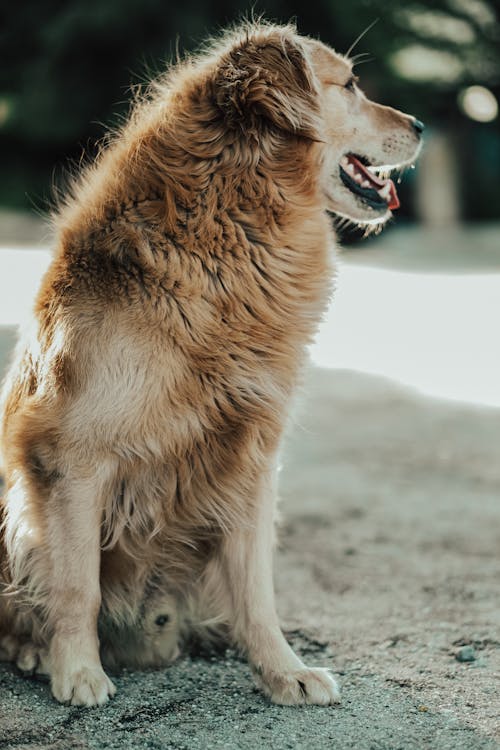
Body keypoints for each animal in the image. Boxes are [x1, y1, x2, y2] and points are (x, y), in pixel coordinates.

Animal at [0, 20, 424, 708]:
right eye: (351, 85)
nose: (421, 124)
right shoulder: (68, 453)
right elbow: (76, 581)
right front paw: (78, 670)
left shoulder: (250, 455)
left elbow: (256, 588)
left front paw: (283, 671)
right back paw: (32, 650)